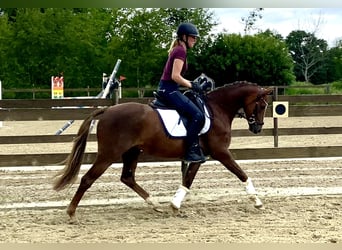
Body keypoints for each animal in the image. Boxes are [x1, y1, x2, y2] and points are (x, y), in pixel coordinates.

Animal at [52, 80, 272, 221]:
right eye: (261, 105)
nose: (258, 128)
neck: (217, 109)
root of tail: (107, 110)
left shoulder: (200, 157)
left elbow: (187, 181)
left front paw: (175, 206)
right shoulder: (221, 153)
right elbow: (242, 174)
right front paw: (257, 201)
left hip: (132, 152)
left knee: (127, 178)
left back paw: (155, 204)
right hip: (108, 155)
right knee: (87, 179)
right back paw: (71, 213)